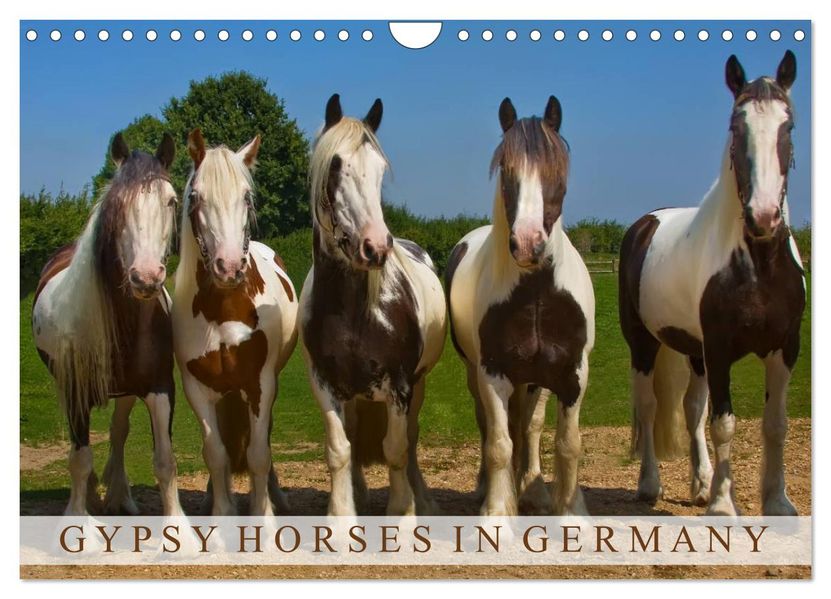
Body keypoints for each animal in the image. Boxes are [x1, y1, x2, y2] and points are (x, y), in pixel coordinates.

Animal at [32, 133, 183, 516]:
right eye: (118, 205)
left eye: (171, 201)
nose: (146, 277)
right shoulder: (75, 391)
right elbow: (80, 458)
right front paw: (78, 516)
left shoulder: (160, 387)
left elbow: (165, 461)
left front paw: (178, 525)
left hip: (126, 392)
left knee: (118, 432)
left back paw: (121, 497)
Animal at [172, 129, 298, 516]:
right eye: (195, 196)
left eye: (247, 196)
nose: (229, 267)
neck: (224, 309)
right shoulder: (197, 389)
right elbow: (215, 454)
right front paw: (222, 513)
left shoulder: (261, 384)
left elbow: (258, 453)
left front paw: (264, 515)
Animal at [298, 94, 447, 516]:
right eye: (335, 167)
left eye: (380, 170)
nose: (376, 246)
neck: (354, 312)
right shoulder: (324, 384)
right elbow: (338, 449)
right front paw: (341, 516)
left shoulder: (400, 385)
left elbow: (396, 449)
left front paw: (403, 513)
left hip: (419, 384)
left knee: (410, 438)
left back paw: (423, 499)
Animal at [446, 97, 595, 516]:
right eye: (507, 170)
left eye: (556, 168)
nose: (528, 244)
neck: (537, 296)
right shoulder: (493, 373)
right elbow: (499, 444)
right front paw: (497, 511)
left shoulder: (573, 375)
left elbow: (567, 444)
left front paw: (572, 512)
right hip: (478, 374)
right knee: (492, 427)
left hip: (537, 381)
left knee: (530, 427)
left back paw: (535, 489)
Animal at [618, 51, 805, 516]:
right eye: (736, 127)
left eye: (788, 126)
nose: (763, 218)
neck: (757, 266)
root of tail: (646, 223)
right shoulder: (720, 350)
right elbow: (724, 424)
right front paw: (723, 505)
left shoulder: (785, 348)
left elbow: (775, 425)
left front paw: (777, 502)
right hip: (644, 344)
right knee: (649, 408)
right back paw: (651, 485)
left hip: (694, 351)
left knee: (691, 409)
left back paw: (700, 484)